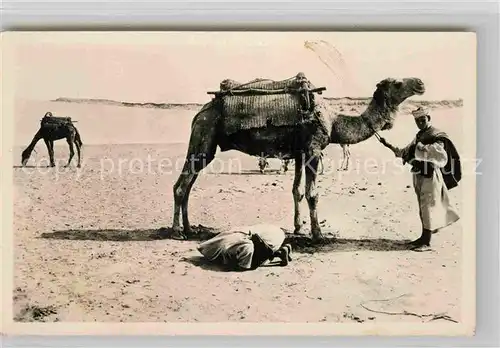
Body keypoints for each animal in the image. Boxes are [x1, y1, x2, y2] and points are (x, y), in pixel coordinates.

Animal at [172, 75, 426, 242]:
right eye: (397, 83)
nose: (421, 83)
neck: (334, 121)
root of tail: (202, 111)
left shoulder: (300, 153)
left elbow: (297, 191)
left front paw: (298, 228)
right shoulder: (313, 150)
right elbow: (312, 193)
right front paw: (318, 234)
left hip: (205, 142)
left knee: (188, 184)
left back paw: (190, 228)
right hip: (204, 134)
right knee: (181, 185)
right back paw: (177, 231)